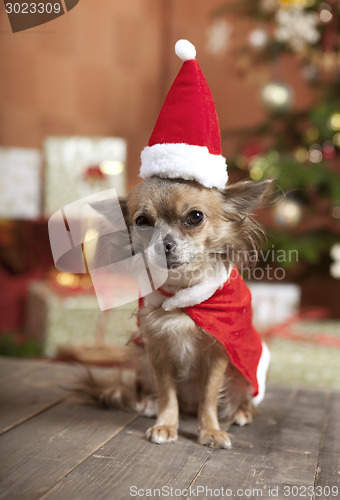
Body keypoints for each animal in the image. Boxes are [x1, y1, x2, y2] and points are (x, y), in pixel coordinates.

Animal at [78, 176, 272, 450]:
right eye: (142, 221)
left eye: (195, 217)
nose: (164, 245)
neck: (182, 292)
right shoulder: (158, 352)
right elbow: (168, 394)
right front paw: (166, 425)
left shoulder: (218, 353)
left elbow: (209, 397)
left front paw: (210, 430)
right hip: (141, 358)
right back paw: (149, 404)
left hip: (245, 373)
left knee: (244, 398)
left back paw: (241, 412)